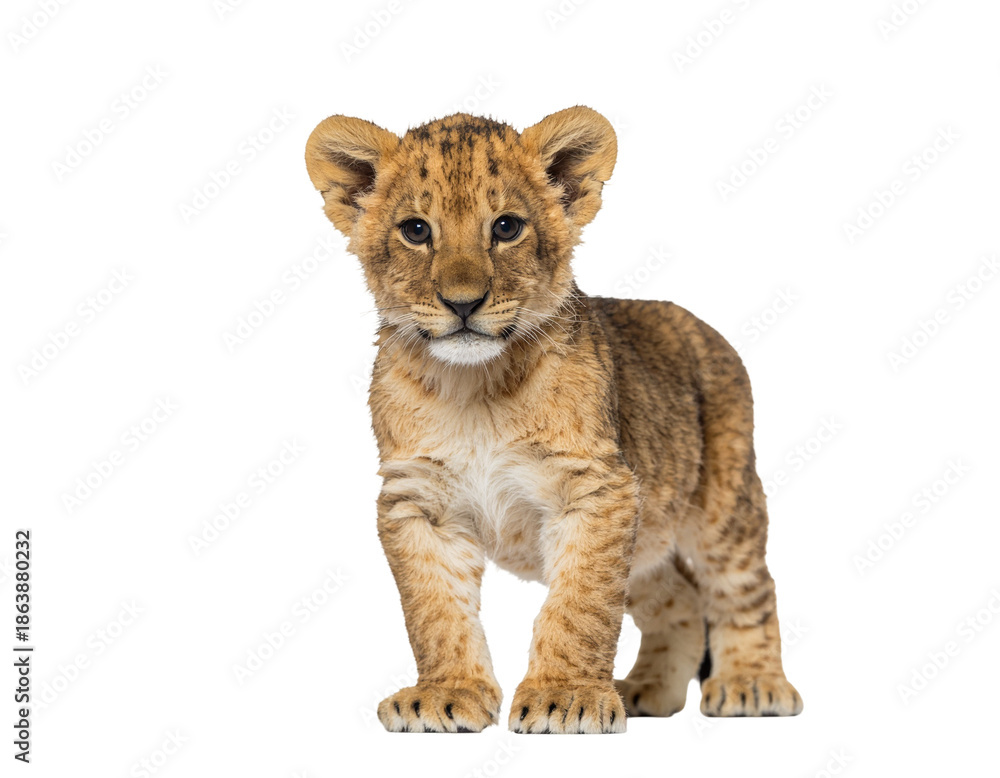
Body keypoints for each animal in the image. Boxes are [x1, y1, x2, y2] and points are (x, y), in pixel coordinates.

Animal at [304, 106, 802, 733]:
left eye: (506, 227)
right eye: (416, 230)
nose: (462, 303)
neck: (475, 389)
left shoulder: (598, 489)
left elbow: (580, 606)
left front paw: (566, 698)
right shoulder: (418, 499)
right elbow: (434, 611)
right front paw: (446, 694)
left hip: (724, 499)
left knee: (747, 587)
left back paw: (752, 685)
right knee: (679, 596)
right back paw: (647, 690)